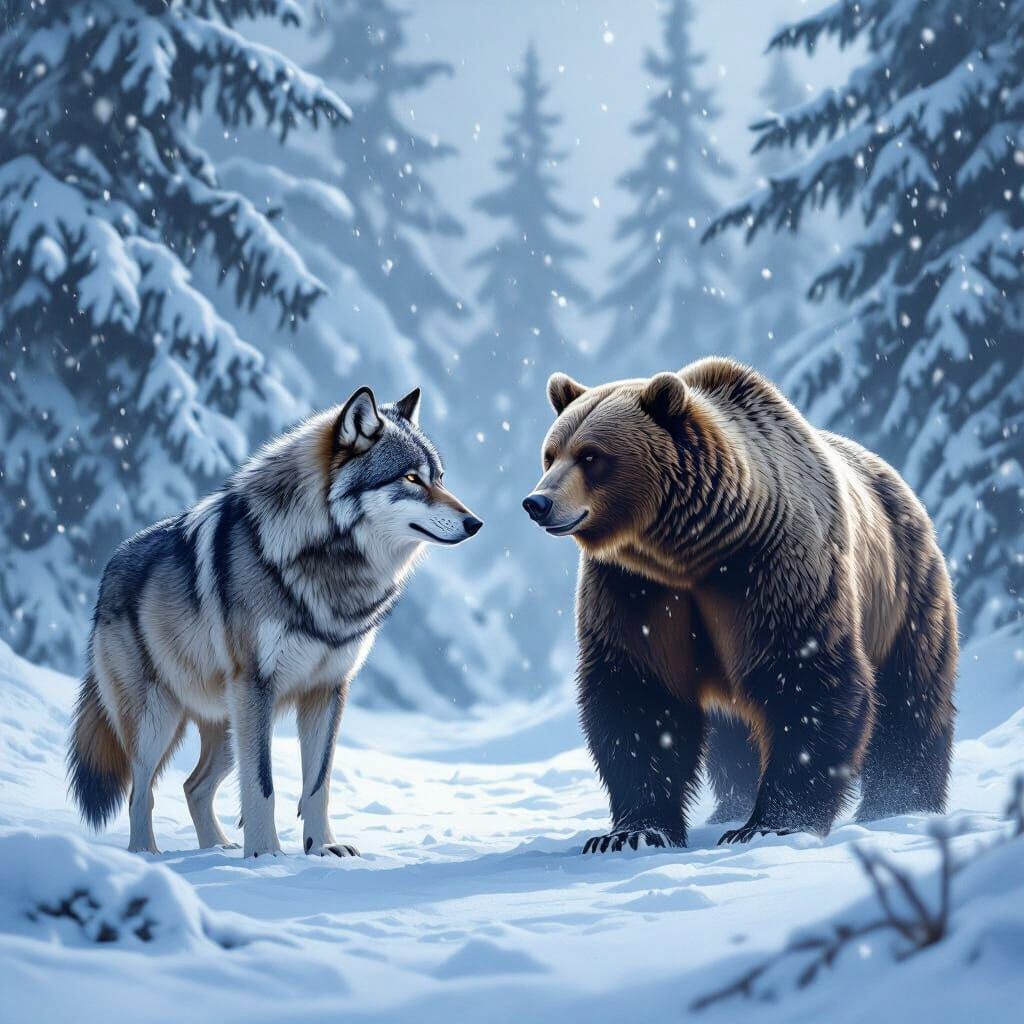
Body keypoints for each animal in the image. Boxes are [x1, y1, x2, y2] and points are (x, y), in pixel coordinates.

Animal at [68, 386, 482, 857]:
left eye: (441, 478)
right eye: (412, 479)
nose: (475, 522)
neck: (330, 565)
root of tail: (110, 566)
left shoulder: (329, 689)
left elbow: (318, 783)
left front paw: (322, 848)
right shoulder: (257, 685)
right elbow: (262, 785)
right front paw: (266, 855)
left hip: (228, 724)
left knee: (193, 787)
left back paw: (217, 849)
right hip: (162, 720)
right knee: (142, 793)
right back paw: (147, 856)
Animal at [522, 357, 958, 851]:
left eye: (592, 456)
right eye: (551, 453)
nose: (538, 502)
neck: (688, 552)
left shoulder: (772, 569)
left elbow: (805, 678)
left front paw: (773, 823)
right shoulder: (634, 589)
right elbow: (638, 695)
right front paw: (632, 832)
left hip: (905, 591)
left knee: (911, 698)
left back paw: (900, 804)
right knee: (733, 737)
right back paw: (730, 806)